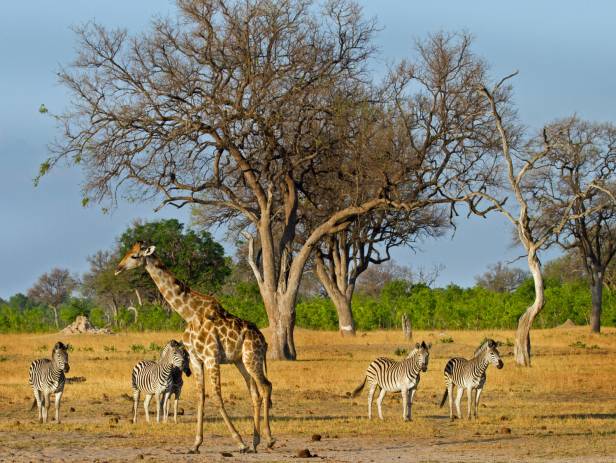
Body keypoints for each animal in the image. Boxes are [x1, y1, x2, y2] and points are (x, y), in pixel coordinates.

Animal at [116, 243, 274, 454]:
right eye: (127, 252)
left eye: (134, 256)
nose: (118, 268)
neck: (190, 313)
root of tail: (263, 340)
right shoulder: (196, 359)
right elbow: (201, 396)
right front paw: (196, 444)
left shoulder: (211, 357)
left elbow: (216, 396)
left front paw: (239, 441)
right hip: (240, 361)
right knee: (255, 393)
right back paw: (255, 443)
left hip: (252, 358)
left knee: (266, 386)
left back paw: (269, 440)